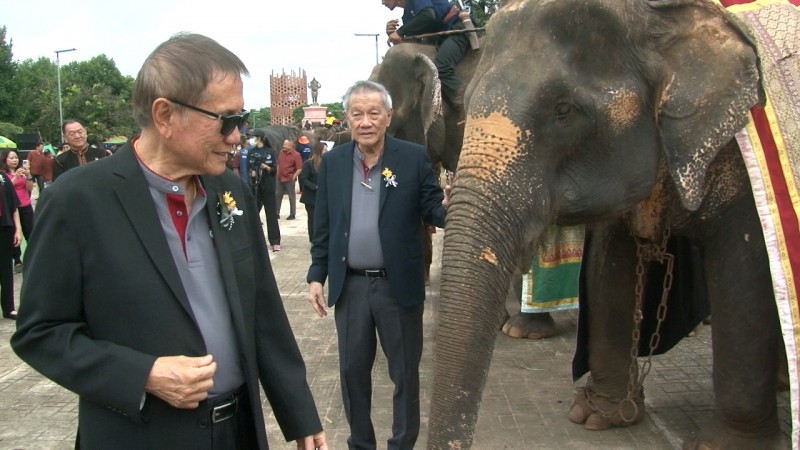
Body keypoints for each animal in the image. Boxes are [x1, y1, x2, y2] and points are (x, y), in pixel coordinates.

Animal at [428, 0, 796, 450]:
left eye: (563, 110)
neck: (659, 16)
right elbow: (609, 268)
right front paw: (599, 416)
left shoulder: (741, 160)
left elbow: (744, 273)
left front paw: (723, 445)